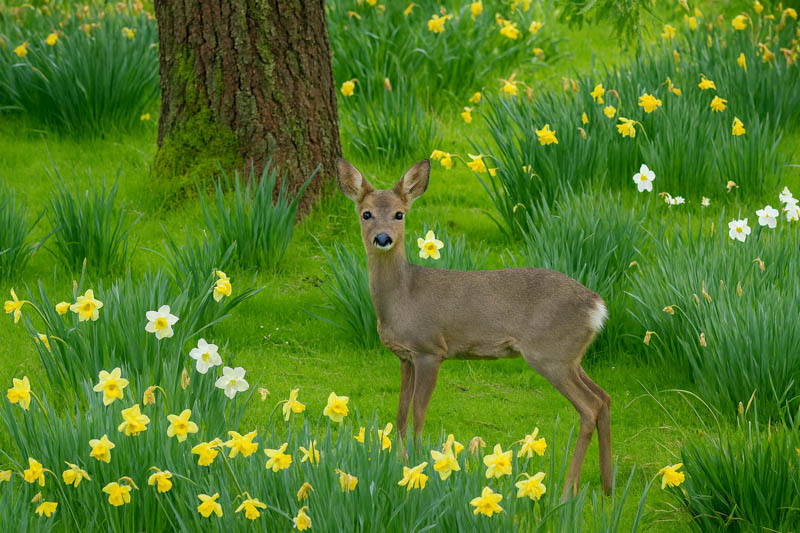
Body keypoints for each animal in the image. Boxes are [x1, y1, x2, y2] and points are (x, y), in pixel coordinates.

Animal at [336, 158, 613, 498]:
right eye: (366, 213)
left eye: (400, 213)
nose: (383, 238)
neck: (403, 296)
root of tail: (597, 306)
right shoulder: (405, 356)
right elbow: (400, 414)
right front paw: (399, 463)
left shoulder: (430, 349)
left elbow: (418, 413)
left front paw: (418, 464)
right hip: (571, 356)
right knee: (604, 397)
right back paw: (607, 486)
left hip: (550, 354)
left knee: (590, 406)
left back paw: (567, 489)